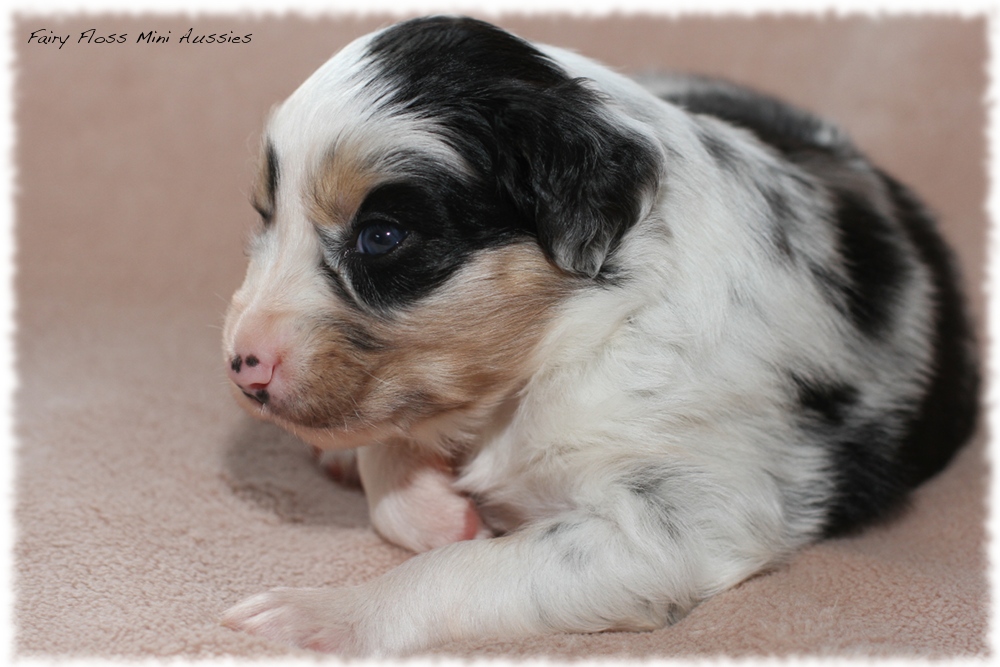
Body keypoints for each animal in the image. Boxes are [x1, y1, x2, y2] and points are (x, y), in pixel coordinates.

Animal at [219, 15, 976, 656]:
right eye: (265, 217)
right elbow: (390, 450)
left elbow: (467, 568)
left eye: (382, 237)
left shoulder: (683, 517)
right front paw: (436, 508)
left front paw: (318, 615)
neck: (569, 339)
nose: (241, 364)